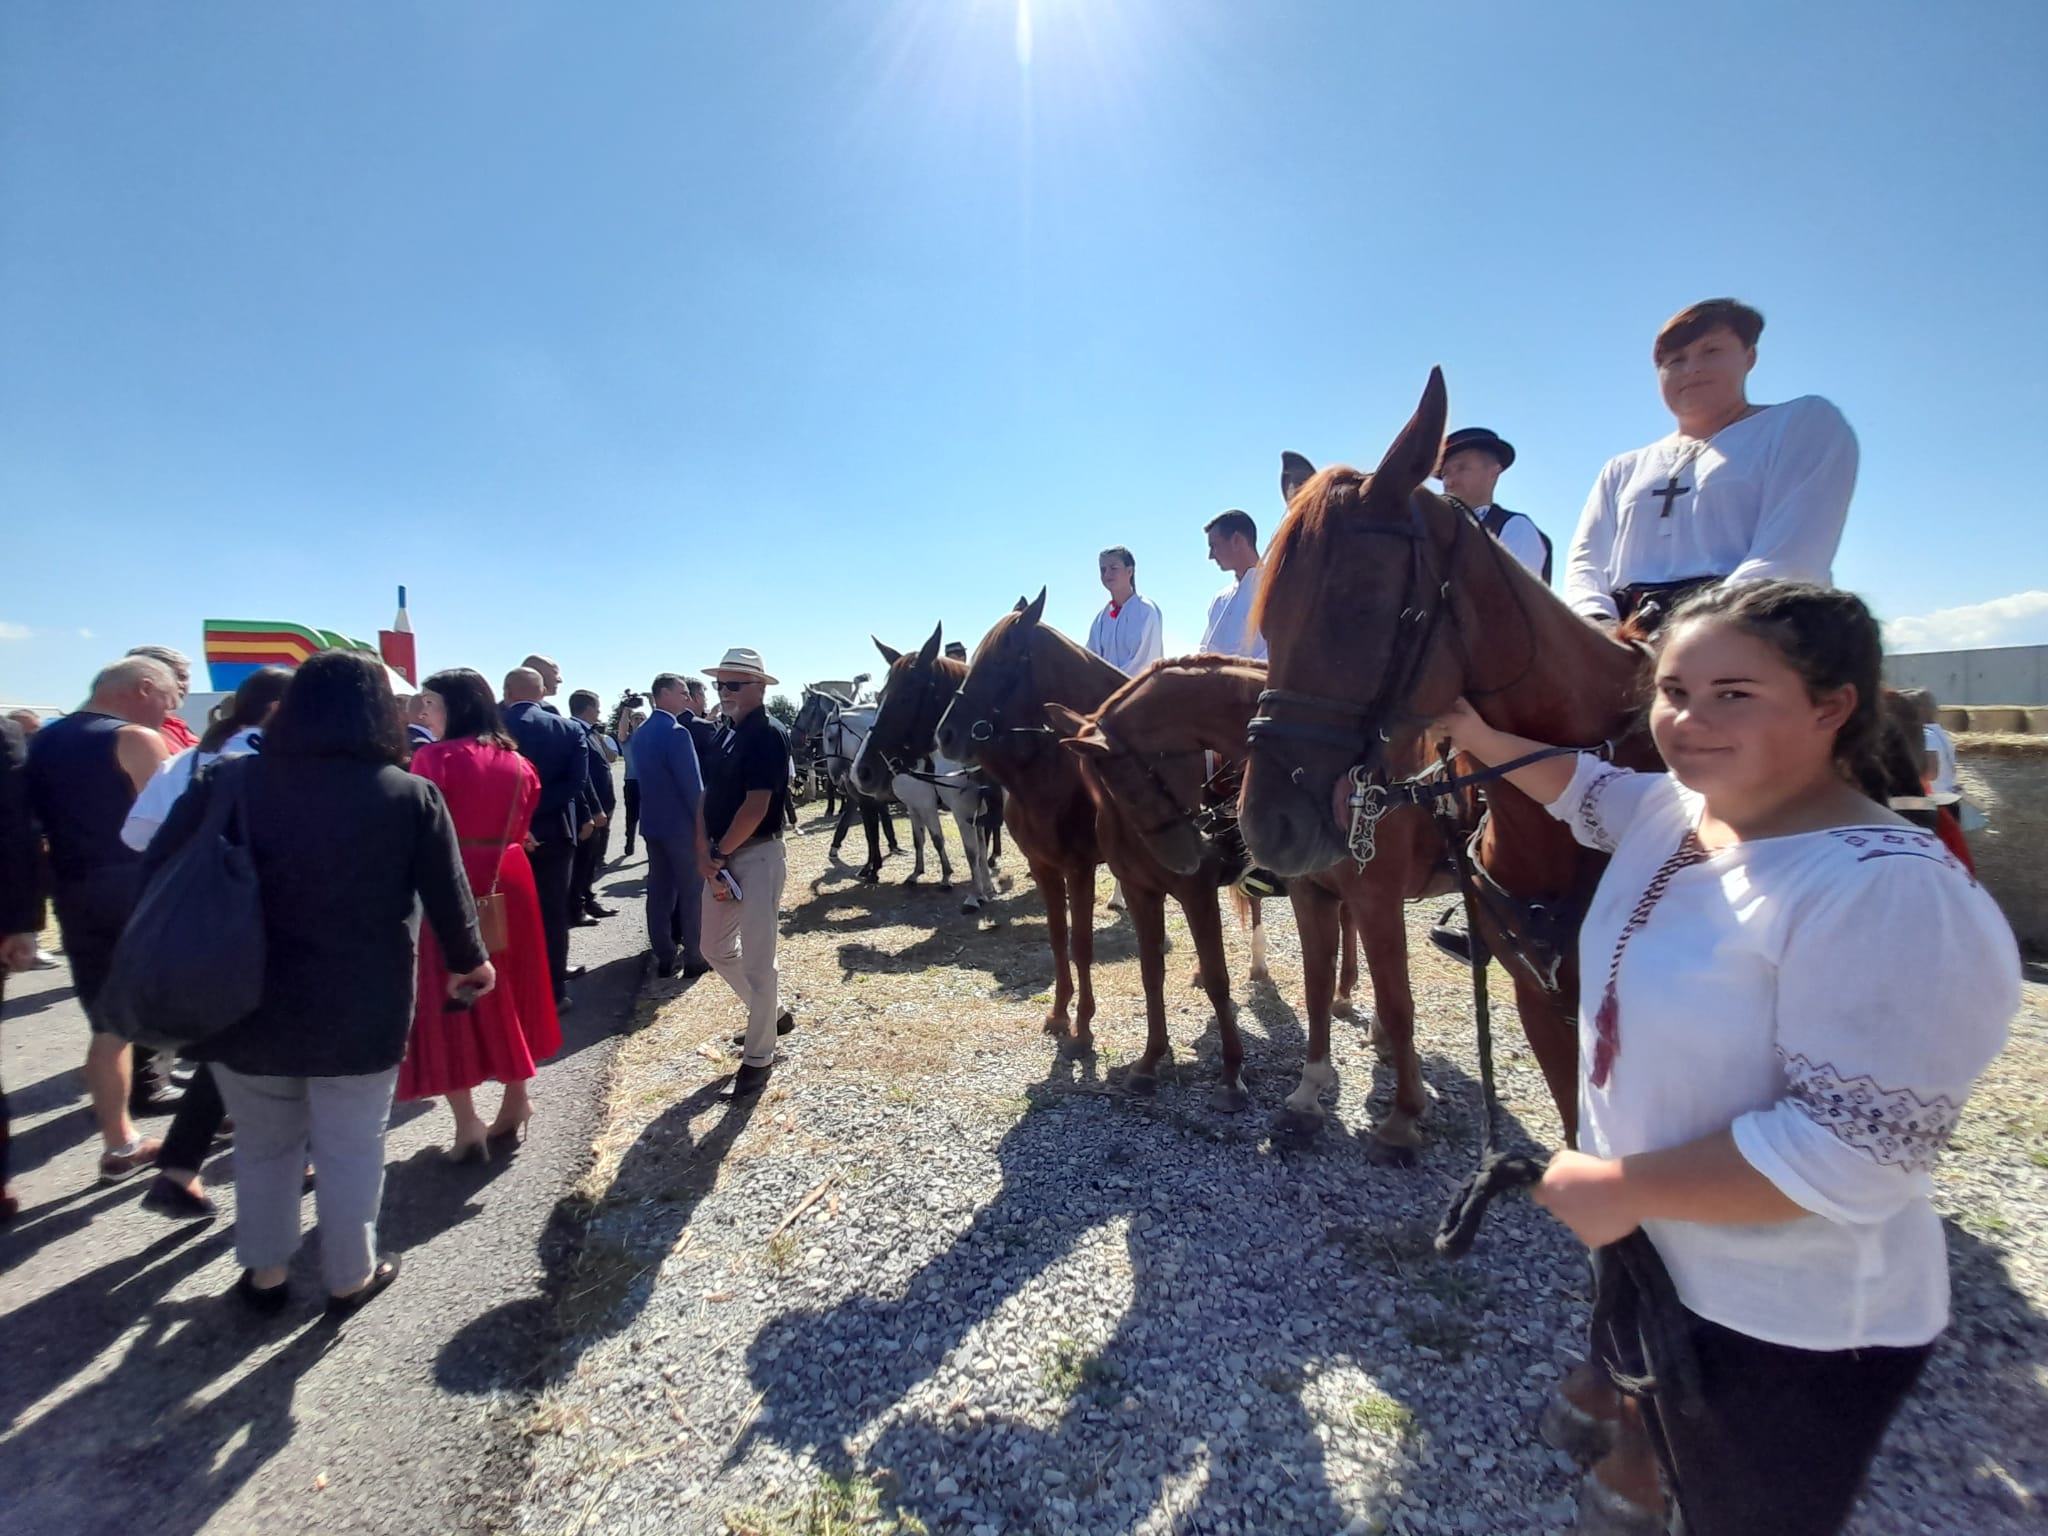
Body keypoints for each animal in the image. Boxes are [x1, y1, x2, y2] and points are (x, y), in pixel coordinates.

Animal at [1056, 655, 1458, 1163]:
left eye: (1133, 783)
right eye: (1108, 795)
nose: (1184, 857)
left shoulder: (1200, 892)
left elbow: (1219, 979)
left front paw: (1232, 1078)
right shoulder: (1144, 891)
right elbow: (1153, 976)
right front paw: (1149, 1062)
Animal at [1228, 372, 1646, 1146]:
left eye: (1361, 607)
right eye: (1267, 621)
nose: (1270, 826)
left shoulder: (1376, 894)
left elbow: (1397, 998)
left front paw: (1402, 1115)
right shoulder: (1314, 891)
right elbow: (1318, 979)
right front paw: (1310, 1090)